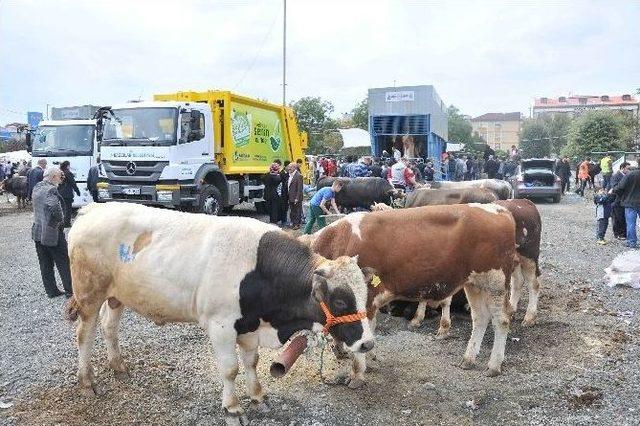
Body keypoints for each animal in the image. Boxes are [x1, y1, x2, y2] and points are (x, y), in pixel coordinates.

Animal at [65, 201, 376, 424]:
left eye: (364, 294)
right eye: (340, 301)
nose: (367, 343)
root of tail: (94, 208)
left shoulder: (250, 326)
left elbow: (251, 363)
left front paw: (258, 396)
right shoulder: (221, 325)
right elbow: (230, 369)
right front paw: (233, 408)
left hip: (117, 296)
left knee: (109, 327)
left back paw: (118, 366)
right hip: (89, 294)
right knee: (84, 334)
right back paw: (87, 381)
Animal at [308, 204, 520, 386]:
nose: (338, 352)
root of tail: (497, 209)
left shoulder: (366, 299)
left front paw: (357, 374)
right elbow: (369, 330)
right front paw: (370, 358)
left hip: (495, 282)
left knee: (501, 320)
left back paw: (494, 365)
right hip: (474, 283)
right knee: (480, 318)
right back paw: (468, 359)